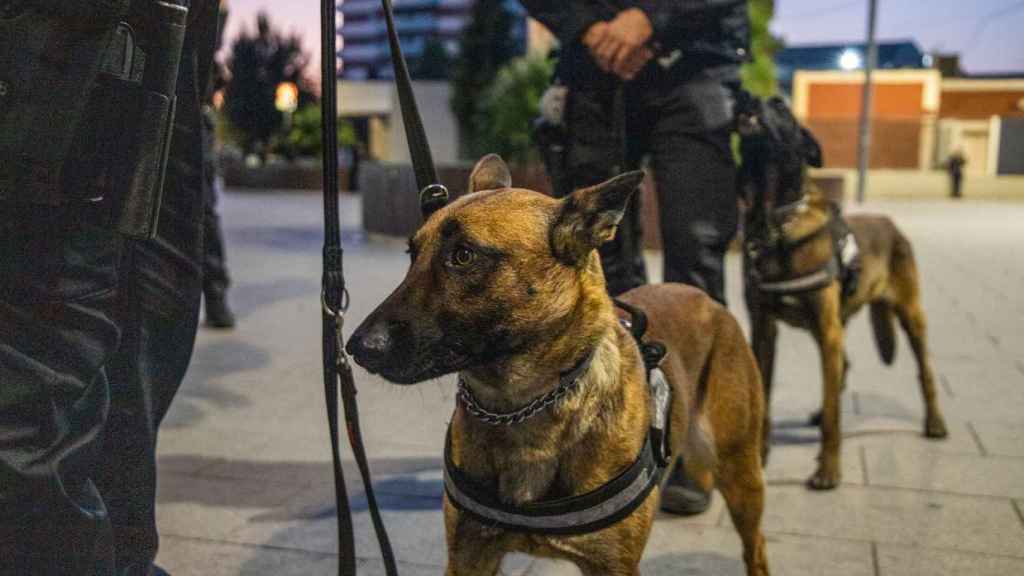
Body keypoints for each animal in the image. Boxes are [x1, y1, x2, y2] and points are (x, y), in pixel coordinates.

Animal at [346, 153, 770, 573]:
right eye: (413, 254)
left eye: (463, 256)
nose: (357, 347)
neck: (520, 406)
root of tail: (706, 299)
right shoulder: (469, 555)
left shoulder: (613, 565)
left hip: (741, 473)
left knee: (756, 547)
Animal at [737, 94, 942, 487]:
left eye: (782, 107)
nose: (749, 95)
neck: (774, 221)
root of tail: (889, 222)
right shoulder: (764, 330)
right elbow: (765, 398)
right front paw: (761, 457)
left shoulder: (826, 328)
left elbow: (834, 414)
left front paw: (828, 470)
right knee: (844, 365)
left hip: (909, 317)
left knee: (924, 371)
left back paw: (935, 423)